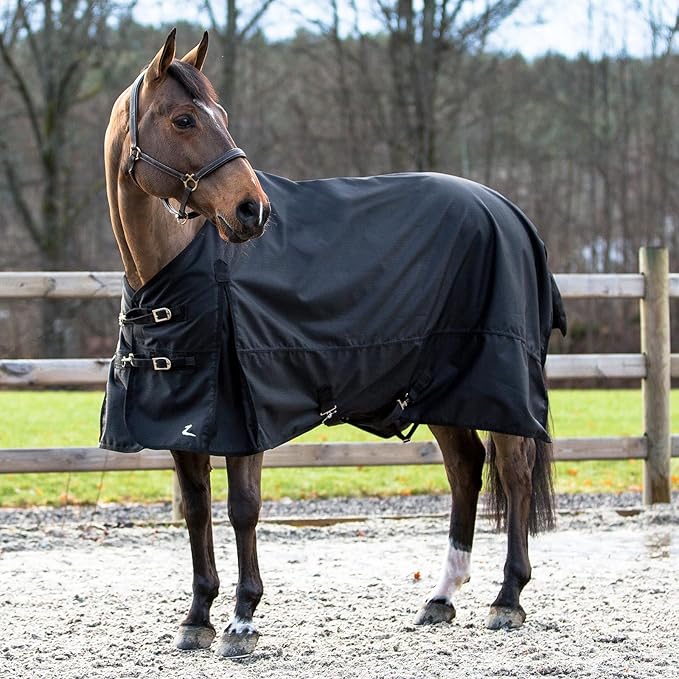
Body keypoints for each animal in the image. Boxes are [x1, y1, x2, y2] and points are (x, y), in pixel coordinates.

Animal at [103, 30, 566, 658]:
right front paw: (197, 617)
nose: (252, 210)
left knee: (513, 474)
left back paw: (507, 599)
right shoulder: (184, 423)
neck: (180, 268)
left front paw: (242, 621)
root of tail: (511, 212)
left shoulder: (244, 417)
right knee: (466, 470)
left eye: (221, 116)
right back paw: (440, 597)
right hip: (442, 389)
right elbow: (197, 510)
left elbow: (242, 509)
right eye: (183, 119)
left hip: (499, 385)